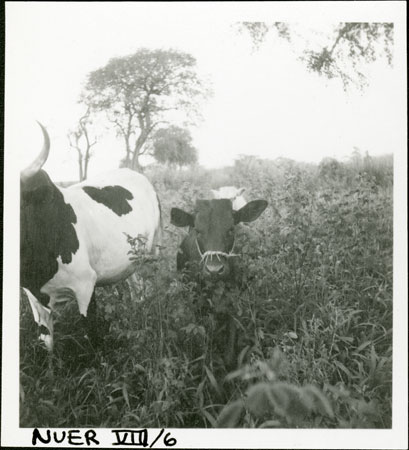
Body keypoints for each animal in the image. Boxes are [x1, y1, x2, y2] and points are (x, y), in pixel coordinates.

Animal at [20, 124, 161, 352]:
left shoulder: (85, 286)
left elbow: (91, 332)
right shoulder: (33, 297)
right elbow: (46, 341)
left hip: (152, 254)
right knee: (136, 286)